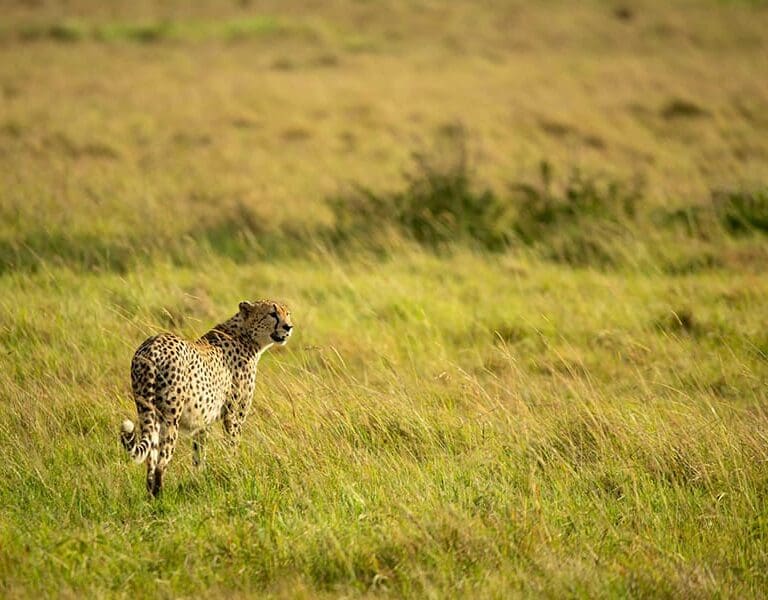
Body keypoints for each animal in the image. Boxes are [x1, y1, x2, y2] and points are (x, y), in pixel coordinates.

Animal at [120, 299, 292, 497]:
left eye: (287, 313)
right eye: (272, 314)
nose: (288, 327)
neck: (246, 336)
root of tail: (153, 344)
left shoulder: (203, 421)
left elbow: (199, 455)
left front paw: (199, 481)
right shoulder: (234, 416)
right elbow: (232, 446)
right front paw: (234, 473)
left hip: (147, 411)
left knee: (151, 459)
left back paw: (150, 496)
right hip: (170, 418)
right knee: (161, 463)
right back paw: (160, 498)